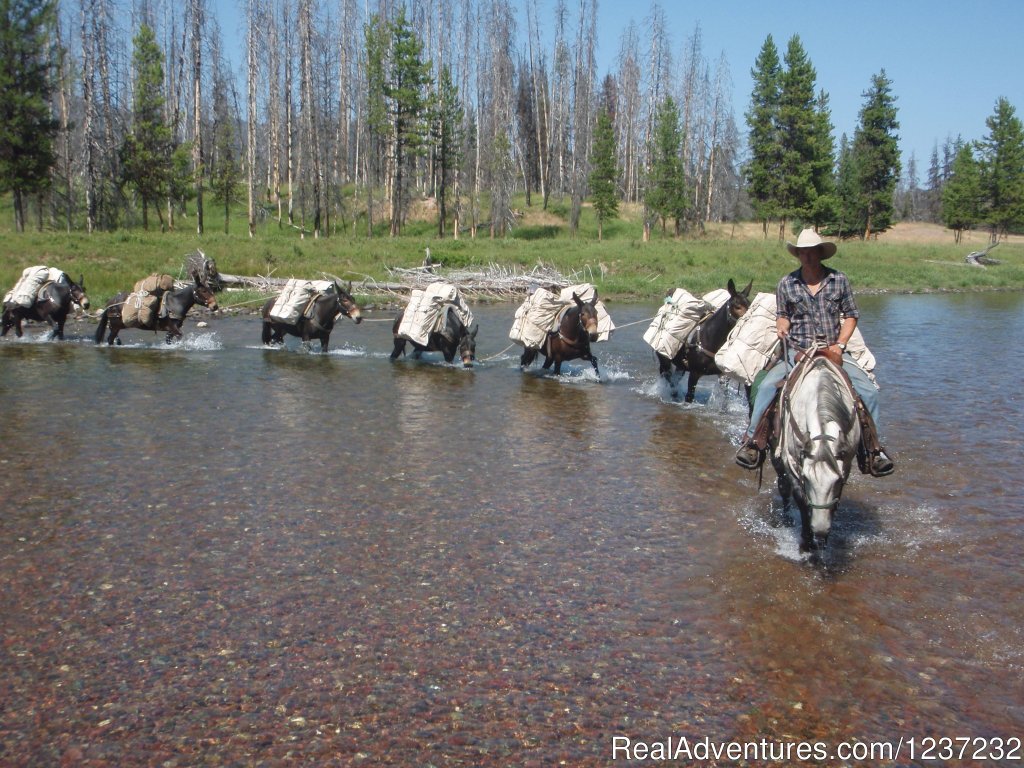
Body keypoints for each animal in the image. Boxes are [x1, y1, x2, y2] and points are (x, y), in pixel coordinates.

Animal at [770, 354, 860, 552]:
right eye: (807, 478)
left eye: (837, 480)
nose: (820, 530)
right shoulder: (792, 464)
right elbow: (802, 500)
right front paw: (806, 542)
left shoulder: (846, 465)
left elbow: (837, 498)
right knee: (783, 486)